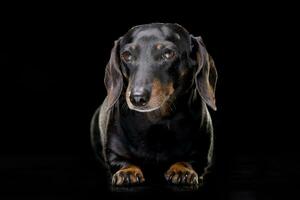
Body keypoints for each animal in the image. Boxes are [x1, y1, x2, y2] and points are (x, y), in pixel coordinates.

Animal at [90, 23, 217, 188]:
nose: (137, 98)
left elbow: (192, 161)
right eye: (127, 55)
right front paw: (127, 171)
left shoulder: (201, 153)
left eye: (168, 53)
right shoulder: (114, 153)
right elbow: (121, 161)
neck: (157, 121)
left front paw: (182, 169)